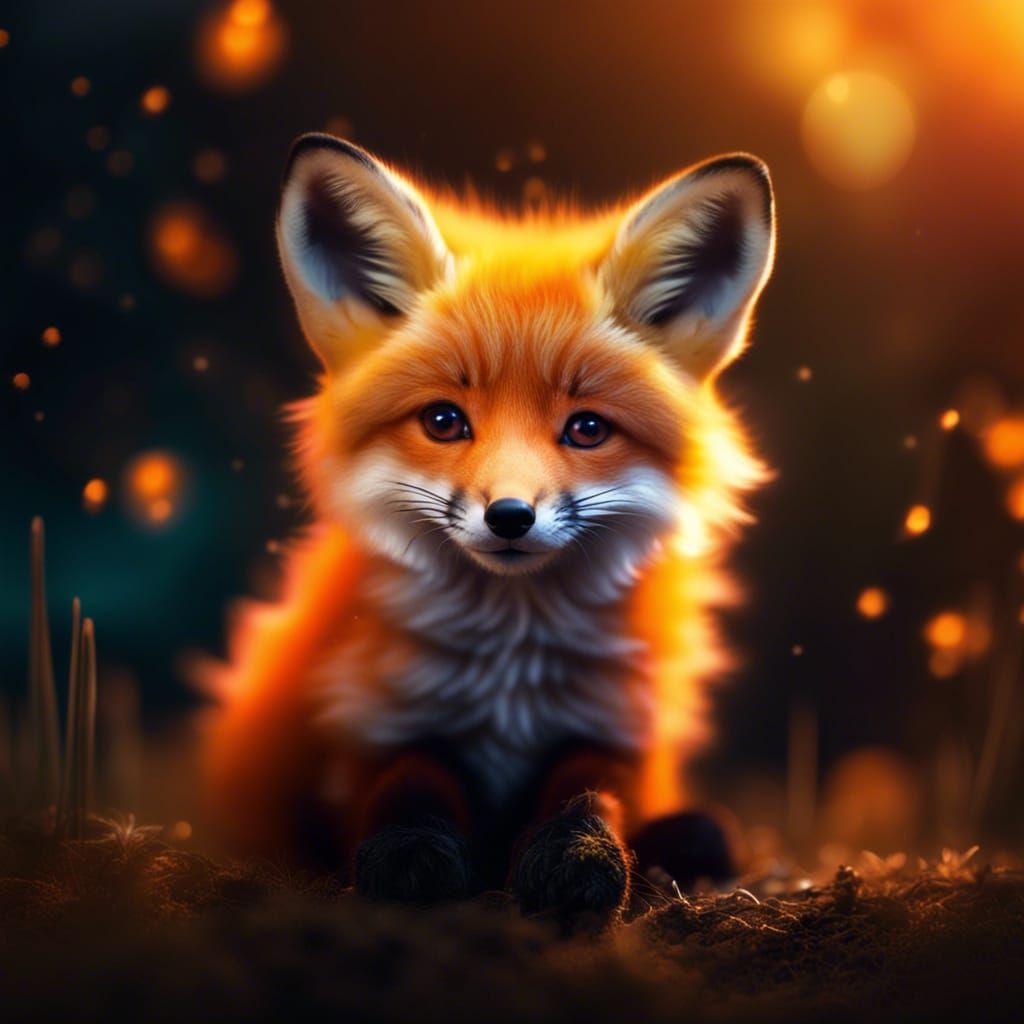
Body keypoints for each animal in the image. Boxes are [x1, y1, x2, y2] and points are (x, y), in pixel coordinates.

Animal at [203, 133, 775, 926]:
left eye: (587, 429)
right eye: (444, 421)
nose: (510, 516)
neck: (512, 669)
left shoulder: (613, 726)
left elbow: (588, 794)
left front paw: (578, 859)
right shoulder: (371, 725)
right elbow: (407, 786)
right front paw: (412, 856)